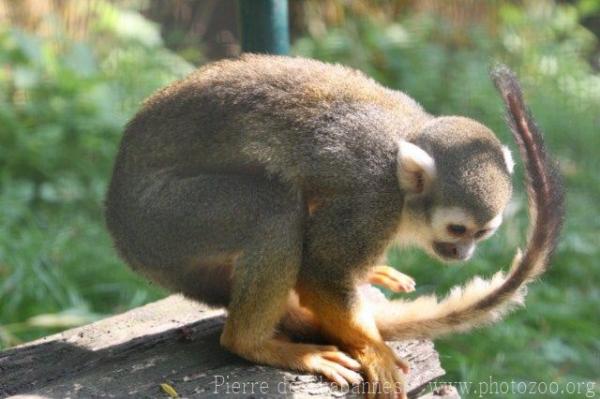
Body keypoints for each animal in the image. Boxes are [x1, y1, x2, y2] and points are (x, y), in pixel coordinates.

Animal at [106, 55, 564, 396]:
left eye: (481, 233)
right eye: (457, 230)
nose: (462, 253)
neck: (402, 186)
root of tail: (117, 225)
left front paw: (370, 278)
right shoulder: (373, 199)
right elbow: (320, 273)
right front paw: (372, 349)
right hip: (162, 222)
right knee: (273, 210)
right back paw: (252, 343)